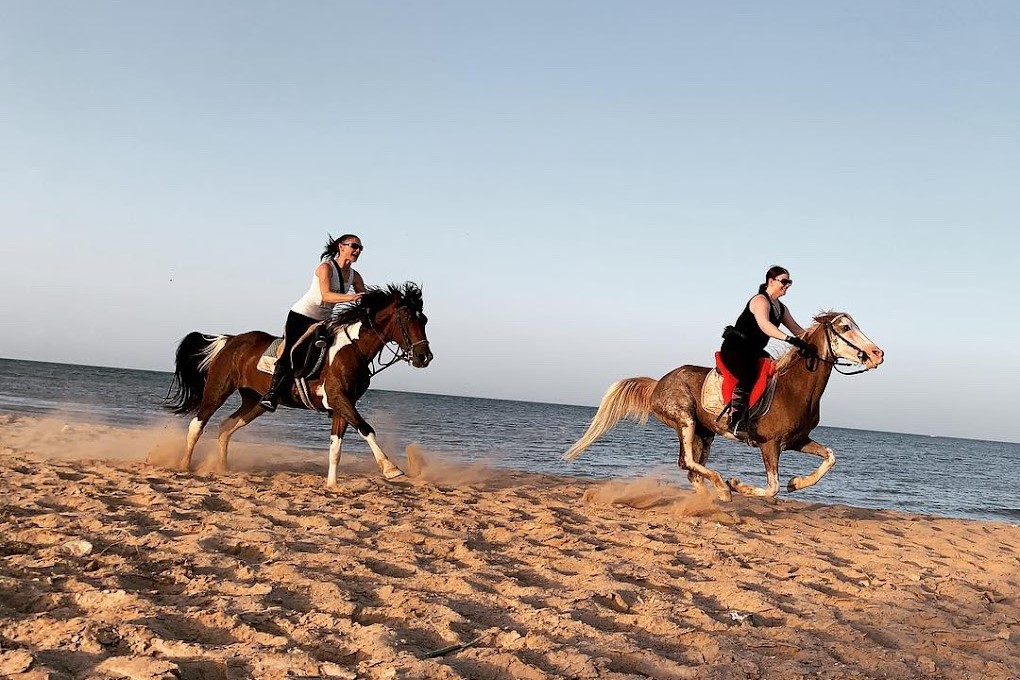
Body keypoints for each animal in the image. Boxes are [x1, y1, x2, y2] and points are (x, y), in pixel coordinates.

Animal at [162, 285, 430, 487]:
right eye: (407, 318)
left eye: (425, 320)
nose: (424, 357)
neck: (353, 349)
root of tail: (229, 340)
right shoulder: (339, 398)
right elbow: (366, 429)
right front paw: (390, 468)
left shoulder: (341, 405)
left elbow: (335, 447)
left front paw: (332, 486)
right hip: (217, 391)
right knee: (197, 425)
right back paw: (184, 465)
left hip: (255, 401)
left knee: (226, 427)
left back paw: (222, 468)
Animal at [567, 314, 885, 499]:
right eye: (846, 327)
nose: (877, 354)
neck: (793, 388)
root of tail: (658, 384)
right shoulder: (770, 444)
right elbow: (772, 487)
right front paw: (737, 485)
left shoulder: (796, 440)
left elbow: (829, 457)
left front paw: (797, 483)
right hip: (685, 420)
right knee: (689, 462)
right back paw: (721, 488)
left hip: (705, 433)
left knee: (690, 468)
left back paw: (710, 495)